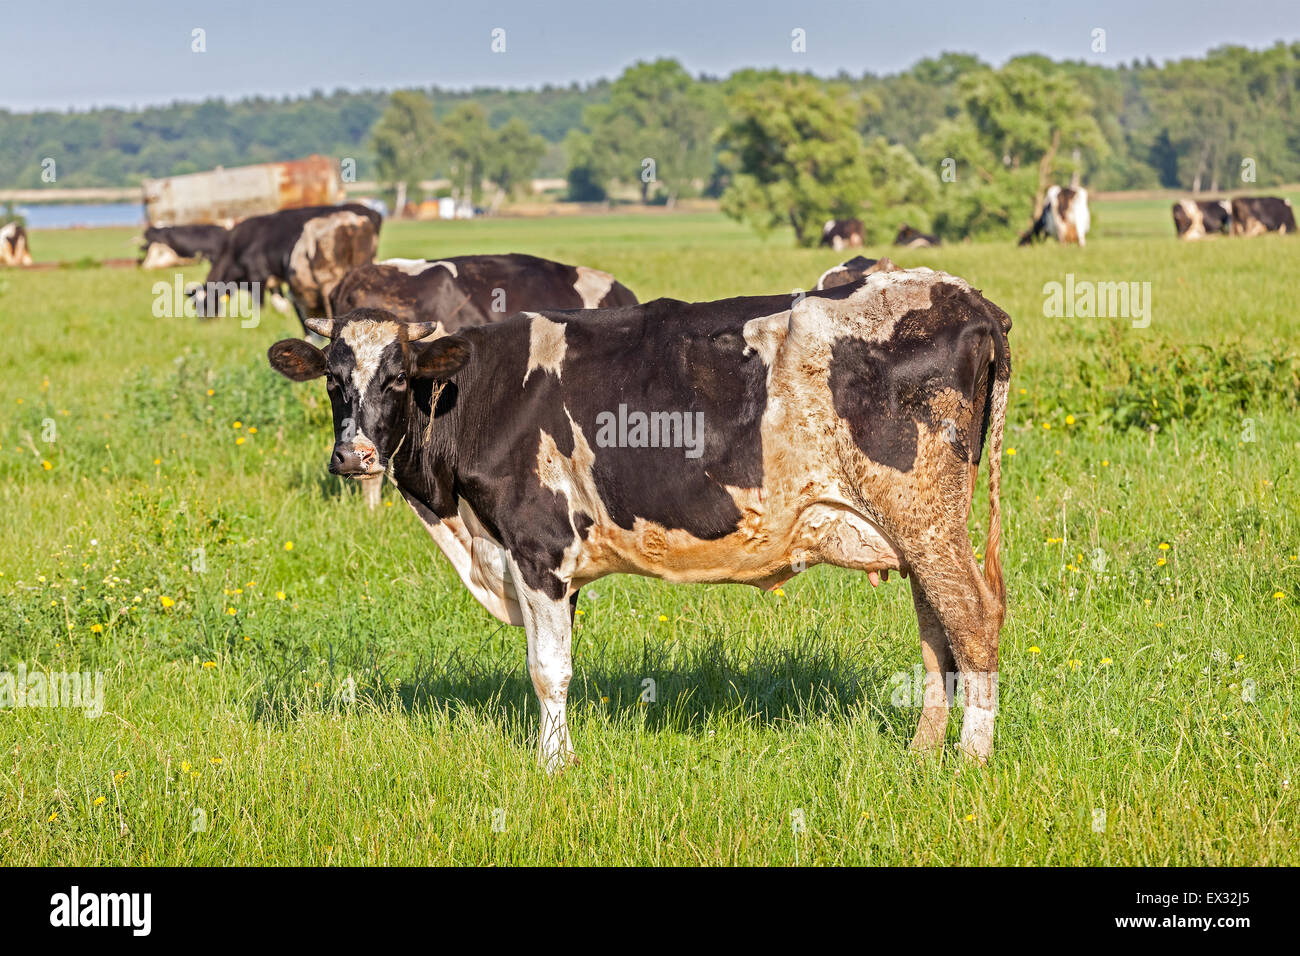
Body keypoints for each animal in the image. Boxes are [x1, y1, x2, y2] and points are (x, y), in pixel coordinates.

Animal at [191, 204, 379, 335]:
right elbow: (279, 301)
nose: (203, 323)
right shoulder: (273, 280)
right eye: (194, 304)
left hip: (330, 282)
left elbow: (262, 306)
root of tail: (348, 219)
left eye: (205, 302)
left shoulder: (257, 277)